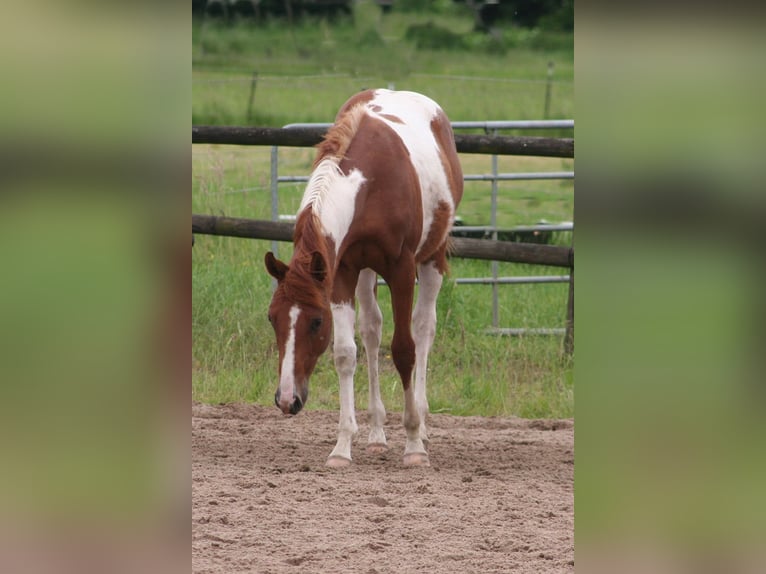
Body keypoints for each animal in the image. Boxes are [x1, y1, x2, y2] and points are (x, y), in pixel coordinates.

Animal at [265, 89, 463, 467]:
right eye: (272, 318)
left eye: (316, 322)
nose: (286, 399)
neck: (371, 185)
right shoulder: (341, 271)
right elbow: (345, 353)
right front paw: (342, 447)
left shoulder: (401, 269)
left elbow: (404, 349)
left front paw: (413, 444)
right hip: (366, 272)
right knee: (372, 329)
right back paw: (376, 433)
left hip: (432, 256)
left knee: (423, 328)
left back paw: (422, 423)